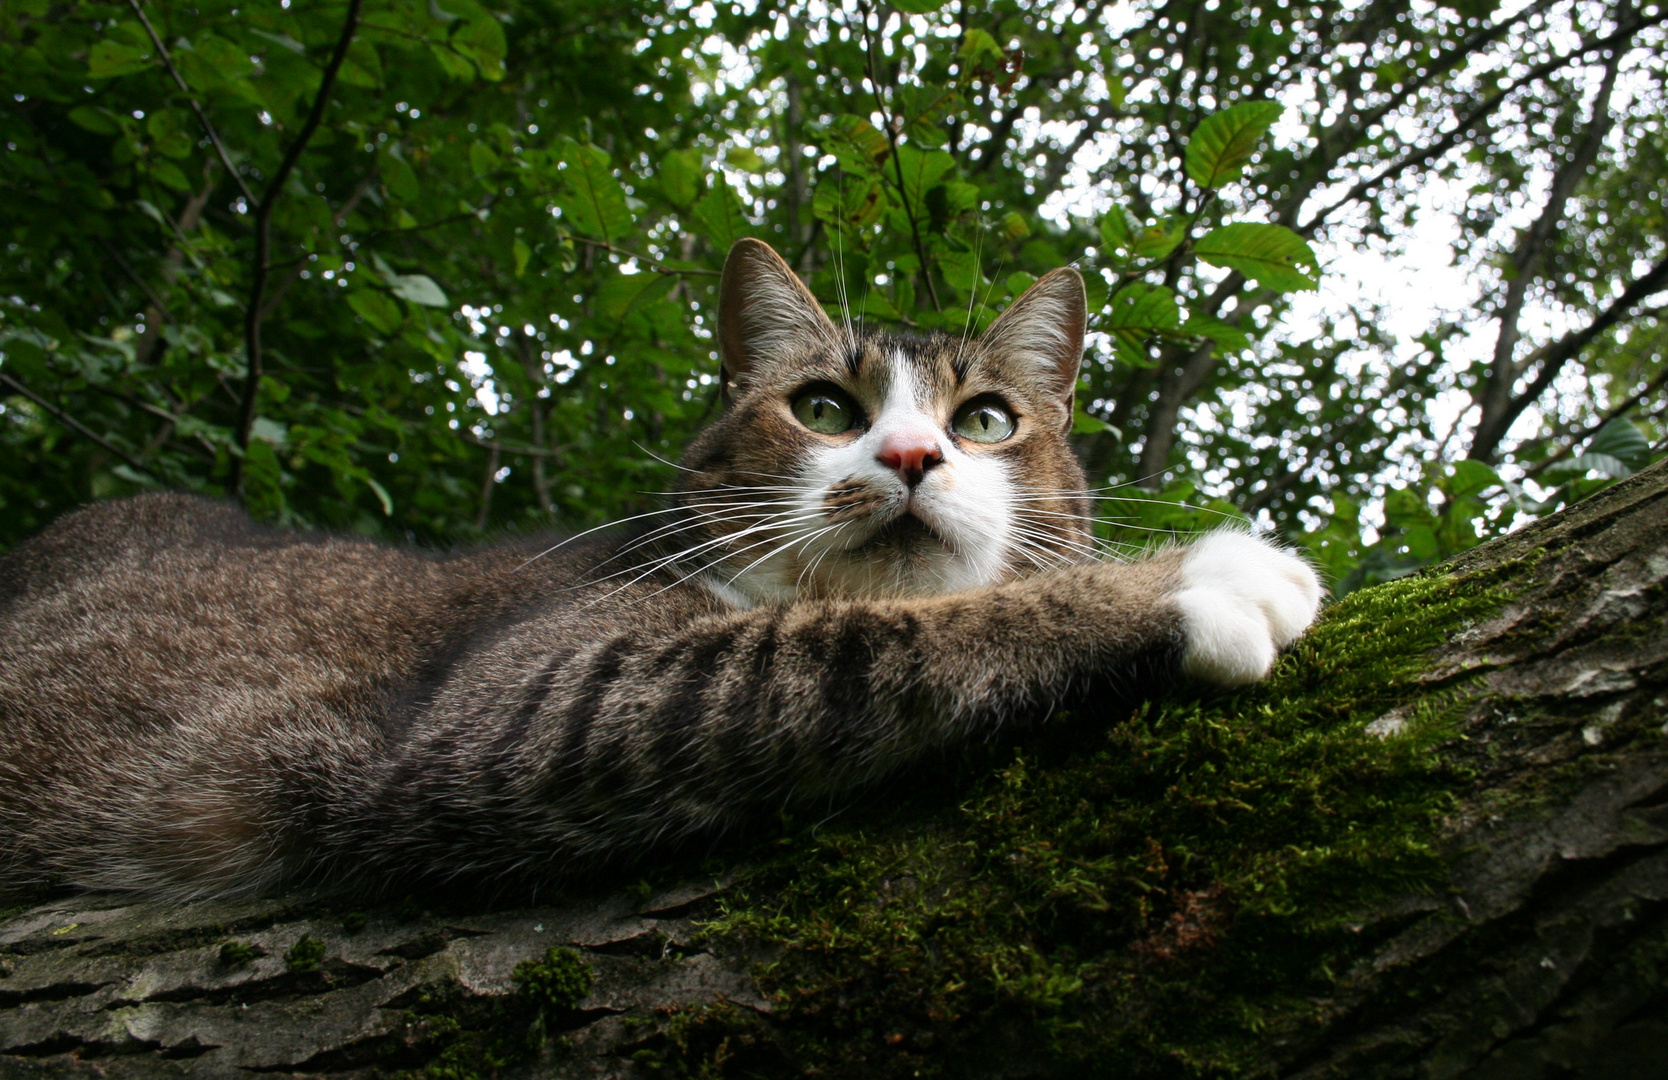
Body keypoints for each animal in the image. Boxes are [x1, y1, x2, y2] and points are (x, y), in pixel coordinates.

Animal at [0, 240, 1321, 901]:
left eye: (988, 421)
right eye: (824, 407)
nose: (907, 454)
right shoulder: (519, 700)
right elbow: (876, 639)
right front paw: (1197, 577)